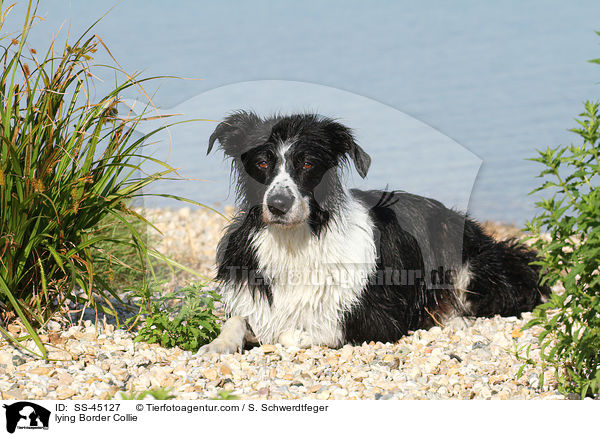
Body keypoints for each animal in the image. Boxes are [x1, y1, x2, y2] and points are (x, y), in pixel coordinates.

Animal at [199, 112, 552, 354]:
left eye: (308, 164)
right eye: (261, 163)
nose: (278, 205)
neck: (295, 239)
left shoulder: (377, 317)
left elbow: (293, 333)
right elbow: (237, 319)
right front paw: (218, 345)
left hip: (468, 261)